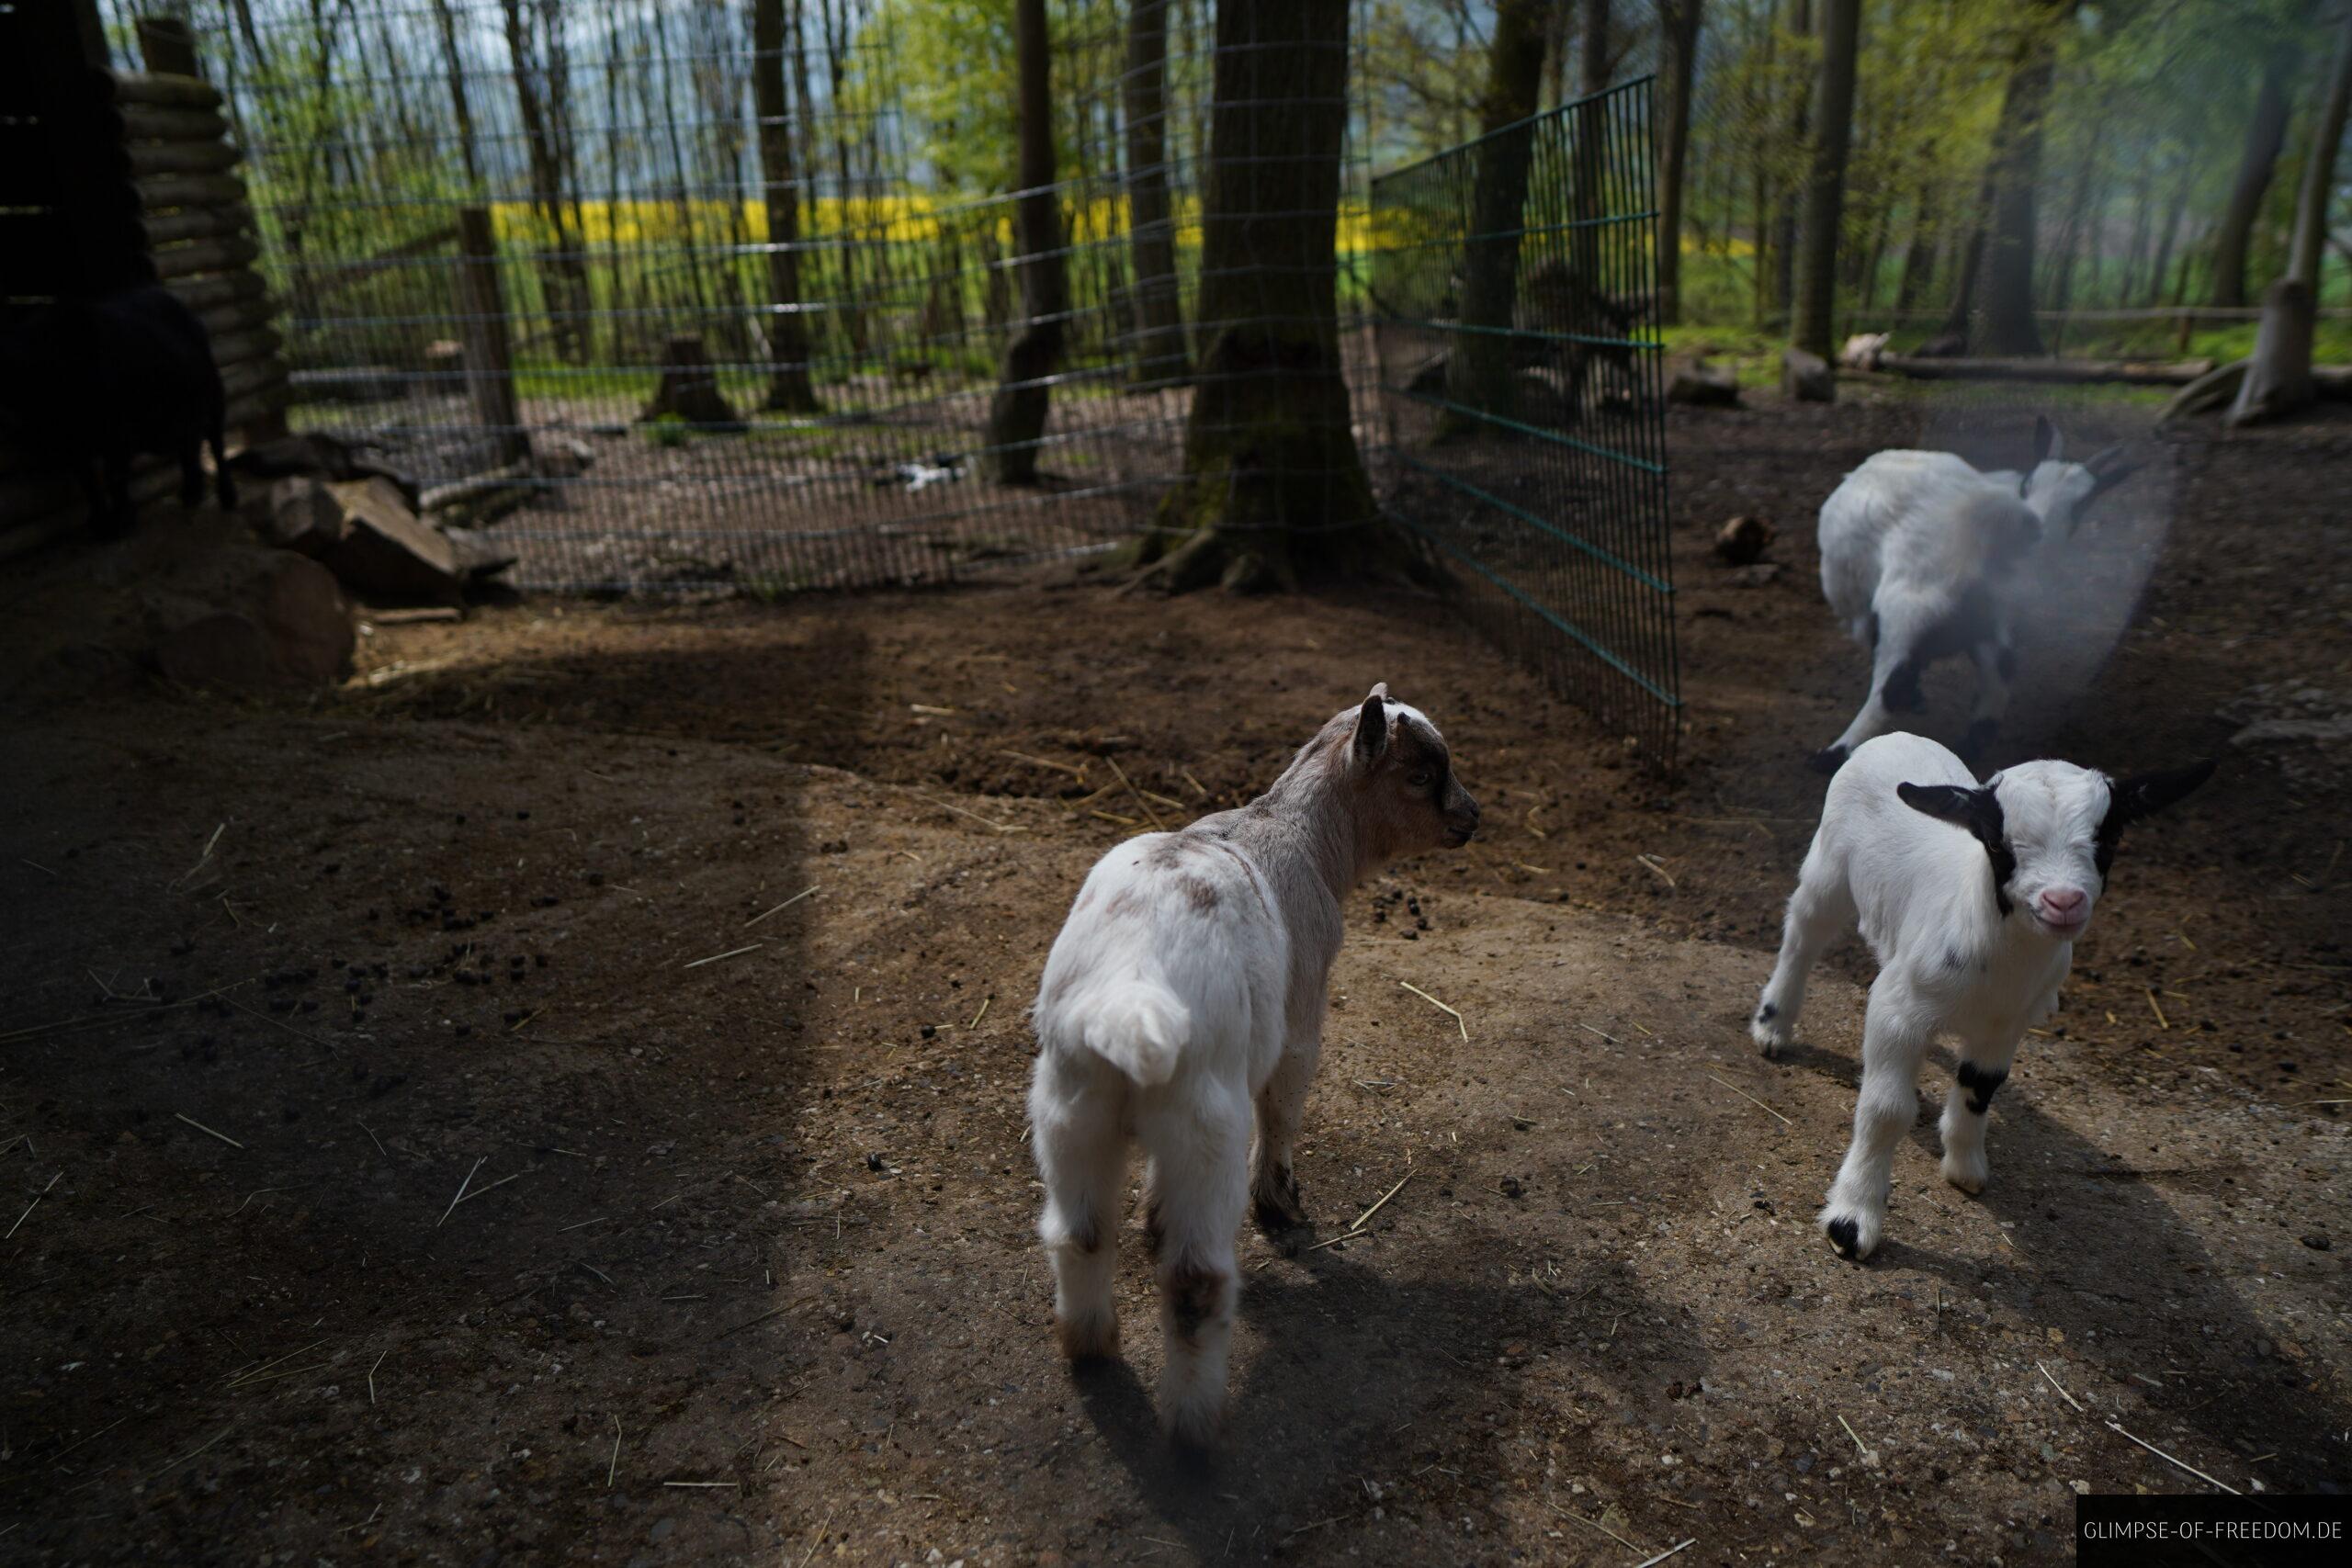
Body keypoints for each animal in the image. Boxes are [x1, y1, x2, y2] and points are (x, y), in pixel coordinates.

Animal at [0, 284, 234, 539]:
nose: (10, 419)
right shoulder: (74, 446)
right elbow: (89, 482)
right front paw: (100, 523)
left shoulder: (118, 435)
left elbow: (115, 478)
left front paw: (121, 522)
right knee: (190, 445)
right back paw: (192, 493)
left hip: (214, 397)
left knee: (216, 443)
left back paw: (227, 497)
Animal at [1028, 685, 1479, 1445]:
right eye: (1421, 775)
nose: (1472, 818)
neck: (1297, 832)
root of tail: (1128, 998)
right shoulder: (1301, 1012)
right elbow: (1286, 1103)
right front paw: (1281, 1204)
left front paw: (1155, 1215)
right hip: (1205, 1126)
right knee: (1195, 1280)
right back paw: (1195, 1428)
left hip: (1070, 1111)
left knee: (1078, 1235)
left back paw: (1091, 1345)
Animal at [1750, 732, 2212, 1261]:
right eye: (1998, 842)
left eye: (2110, 838)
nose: (2063, 902)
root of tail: (1895, 736)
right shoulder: (1897, 1010)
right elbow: (1885, 1111)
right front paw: (1852, 1221)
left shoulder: (2006, 1025)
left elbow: (1980, 1087)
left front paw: (1965, 1167)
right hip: (1828, 863)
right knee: (1804, 931)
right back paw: (1773, 1025)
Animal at [1810, 418, 2143, 774]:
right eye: (2028, 483)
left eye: (2082, 503)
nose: (2038, 531)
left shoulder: (1861, 605)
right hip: (1983, 620)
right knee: (1997, 683)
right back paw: (1966, 753)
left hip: (1910, 606)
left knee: (1889, 688)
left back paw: (1834, 754)